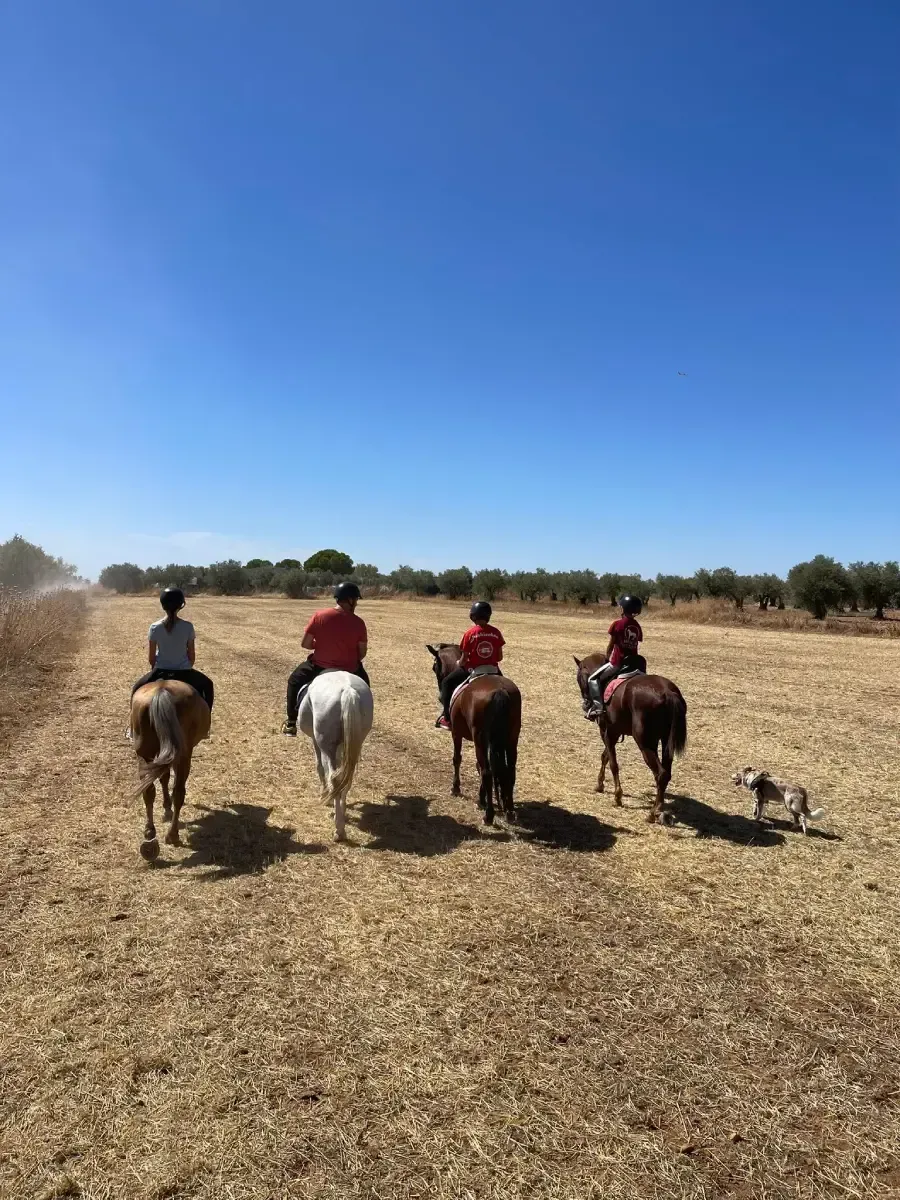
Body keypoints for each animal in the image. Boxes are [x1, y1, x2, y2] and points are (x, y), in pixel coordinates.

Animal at [130, 679, 210, 861]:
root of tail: (162, 690)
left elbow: (164, 778)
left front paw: (166, 808)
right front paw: (167, 808)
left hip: (145, 754)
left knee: (149, 791)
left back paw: (149, 836)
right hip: (183, 755)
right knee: (179, 791)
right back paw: (172, 835)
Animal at [298, 670, 373, 842]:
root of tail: (348, 691)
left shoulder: (316, 741)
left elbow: (319, 766)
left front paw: (324, 795)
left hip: (326, 745)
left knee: (334, 777)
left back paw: (339, 829)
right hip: (356, 742)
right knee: (346, 778)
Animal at [426, 644, 521, 826]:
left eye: (434, 667)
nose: (439, 694)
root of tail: (500, 691)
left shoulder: (456, 734)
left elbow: (457, 759)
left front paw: (456, 788)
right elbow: (478, 765)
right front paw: (481, 799)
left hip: (481, 739)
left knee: (487, 771)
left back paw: (489, 815)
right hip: (511, 738)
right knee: (509, 770)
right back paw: (509, 811)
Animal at [574, 652, 687, 823]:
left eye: (578, 677)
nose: (586, 703)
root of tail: (668, 692)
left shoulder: (607, 731)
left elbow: (612, 762)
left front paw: (617, 796)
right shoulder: (614, 733)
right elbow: (606, 756)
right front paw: (600, 785)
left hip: (646, 744)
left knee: (661, 773)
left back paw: (652, 813)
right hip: (667, 742)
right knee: (666, 772)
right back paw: (659, 809)